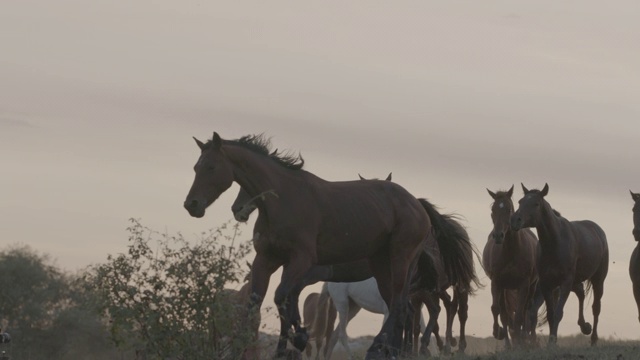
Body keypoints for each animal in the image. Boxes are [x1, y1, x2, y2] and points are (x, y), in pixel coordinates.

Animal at [182, 134, 430, 358]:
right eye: (195, 167)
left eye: (211, 167)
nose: (191, 205)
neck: (282, 200)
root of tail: (418, 206)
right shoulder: (266, 259)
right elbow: (257, 304)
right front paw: (276, 347)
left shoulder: (301, 260)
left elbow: (282, 297)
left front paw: (297, 339)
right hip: (380, 265)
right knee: (399, 306)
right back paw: (392, 351)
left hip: (399, 259)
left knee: (398, 306)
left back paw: (378, 349)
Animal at [484, 184, 540, 348]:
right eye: (493, 210)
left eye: (509, 209)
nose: (498, 236)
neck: (510, 252)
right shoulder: (497, 283)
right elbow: (497, 309)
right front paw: (498, 332)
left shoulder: (523, 285)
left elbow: (520, 315)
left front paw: (520, 341)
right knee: (505, 314)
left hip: (531, 287)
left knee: (526, 311)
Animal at [510, 184, 608, 344]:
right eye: (520, 201)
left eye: (536, 204)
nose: (514, 220)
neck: (555, 243)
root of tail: (598, 230)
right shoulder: (547, 284)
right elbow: (550, 314)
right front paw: (551, 339)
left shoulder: (565, 282)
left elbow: (558, 313)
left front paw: (551, 342)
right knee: (581, 293)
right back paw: (584, 326)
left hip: (598, 279)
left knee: (596, 307)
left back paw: (593, 338)